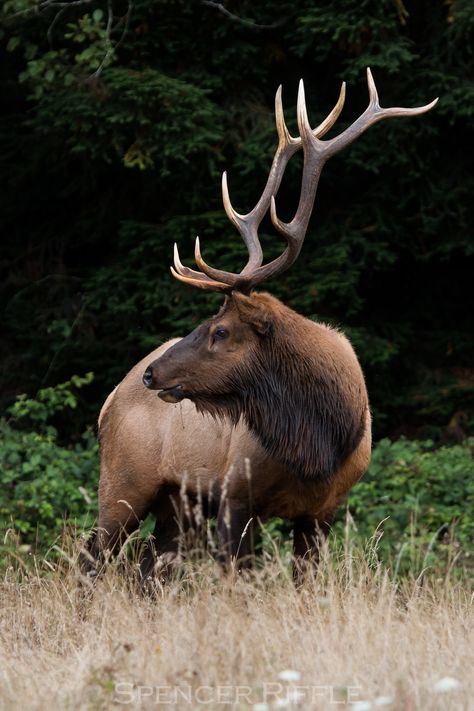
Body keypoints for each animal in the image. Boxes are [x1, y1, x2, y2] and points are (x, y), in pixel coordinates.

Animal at [85, 71, 436, 584]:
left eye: (220, 331)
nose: (153, 374)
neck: (318, 442)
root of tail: (108, 401)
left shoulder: (322, 511)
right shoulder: (235, 494)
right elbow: (239, 579)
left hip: (178, 505)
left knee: (148, 570)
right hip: (124, 480)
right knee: (92, 558)